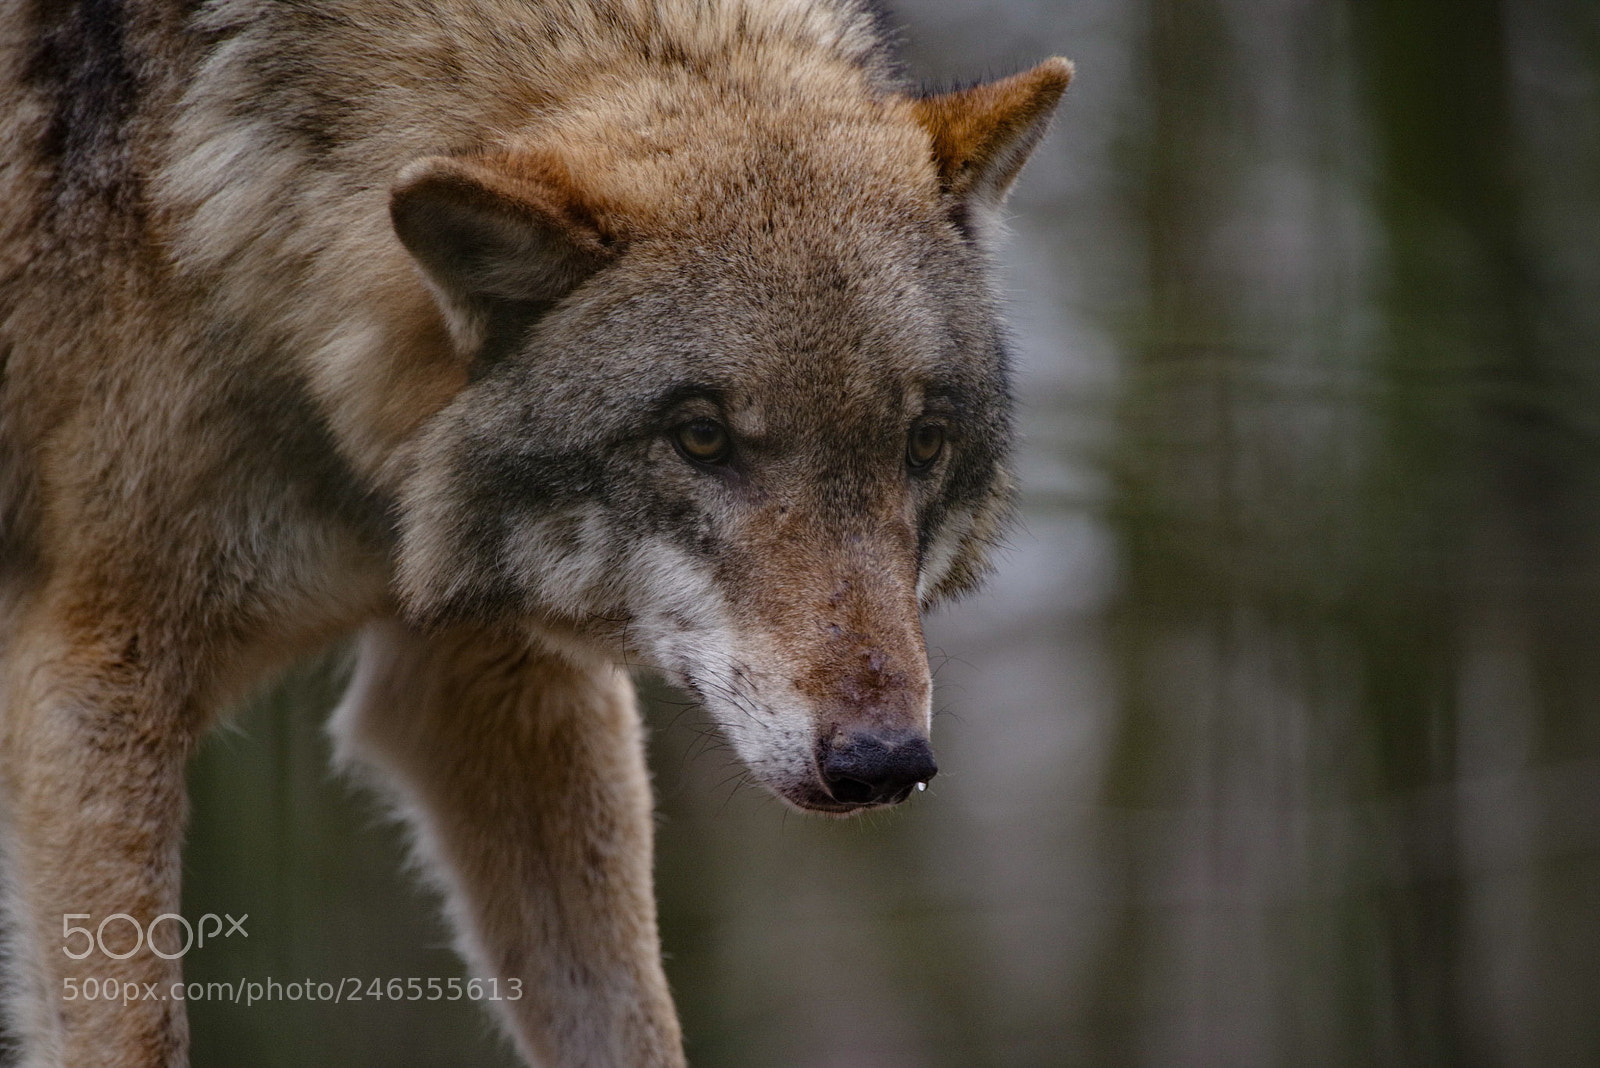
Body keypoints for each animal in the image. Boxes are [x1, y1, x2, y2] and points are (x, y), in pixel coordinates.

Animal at [0, 0, 1068, 1064]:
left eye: (922, 442)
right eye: (701, 436)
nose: (882, 762)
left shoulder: (496, 686)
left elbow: (629, 1024)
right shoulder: (93, 678)